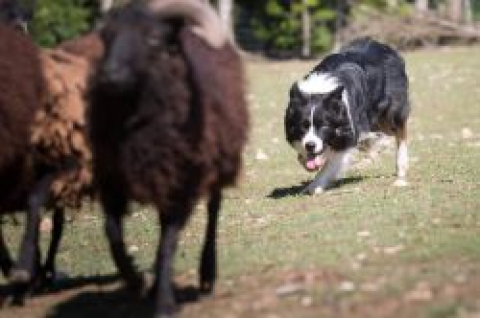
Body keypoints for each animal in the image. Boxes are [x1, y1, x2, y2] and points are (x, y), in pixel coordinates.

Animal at [88, 1, 249, 316]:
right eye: (107, 36)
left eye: (153, 39)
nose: (109, 76)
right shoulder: (112, 179)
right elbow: (112, 233)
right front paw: (135, 280)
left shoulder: (180, 183)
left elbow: (167, 244)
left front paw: (164, 302)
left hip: (216, 163)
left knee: (213, 211)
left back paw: (206, 275)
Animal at [284, 38, 410, 195]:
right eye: (303, 126)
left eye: (324, 126)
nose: (310, 145)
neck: (318, 91)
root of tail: (384, 46)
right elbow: (303, 157)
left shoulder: (348, 131)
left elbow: (331, 164)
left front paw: (315, 186)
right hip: (373, 119)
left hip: (390, 110)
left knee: (400, 131)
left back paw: (401, 168)